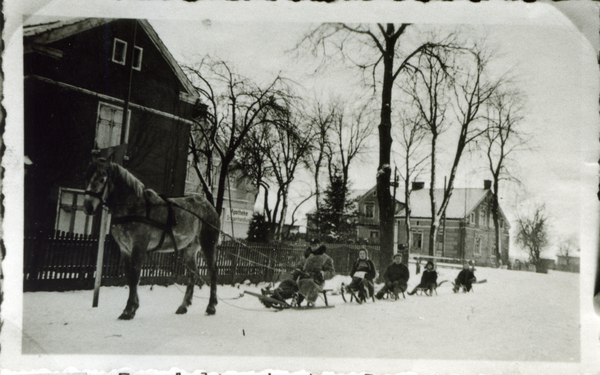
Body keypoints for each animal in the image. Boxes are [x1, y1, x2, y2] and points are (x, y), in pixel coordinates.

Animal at [81, 158, 219, 320]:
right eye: (87, 177)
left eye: (102, 179)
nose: (88, 207)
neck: (134, 205)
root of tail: (209, 206)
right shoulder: (125, 249)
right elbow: (130, 276)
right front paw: (133, 307)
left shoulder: (138, 246)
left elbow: (135, 276)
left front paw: (128, 309)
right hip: (190, 248)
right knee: (192, 274)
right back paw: (183, 306)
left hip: (208, 243)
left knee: (213, 271)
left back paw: (211, 306)